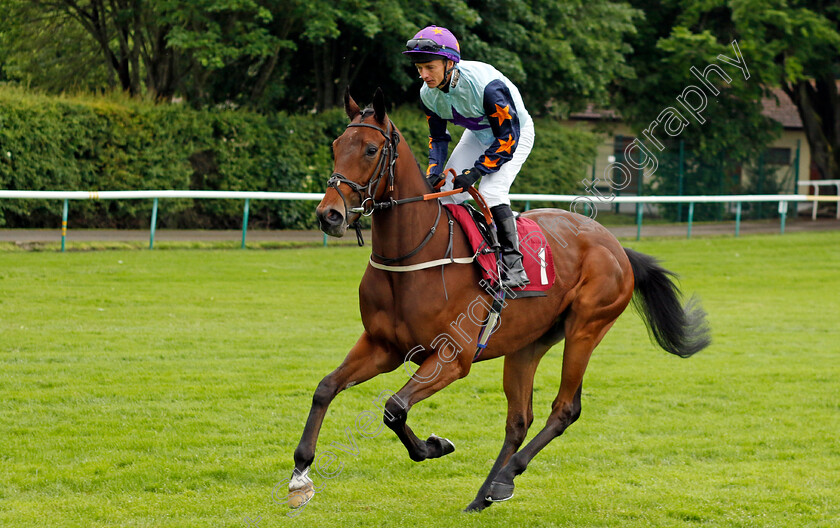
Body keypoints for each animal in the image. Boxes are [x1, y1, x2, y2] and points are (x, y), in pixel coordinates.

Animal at [288, 87, 708, 512]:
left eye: (371, 149)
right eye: (336, 145)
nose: (329, 215)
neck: (412, 257)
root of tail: (616, 245)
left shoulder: (452, 358)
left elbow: (394, 408)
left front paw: (435, 445)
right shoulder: (382, 345)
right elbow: (326, 387)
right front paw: (300, 475)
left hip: (586, 329)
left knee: (564, 409)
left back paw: (505, 478)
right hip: (527, 344)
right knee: (518, 420)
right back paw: (485, 493)